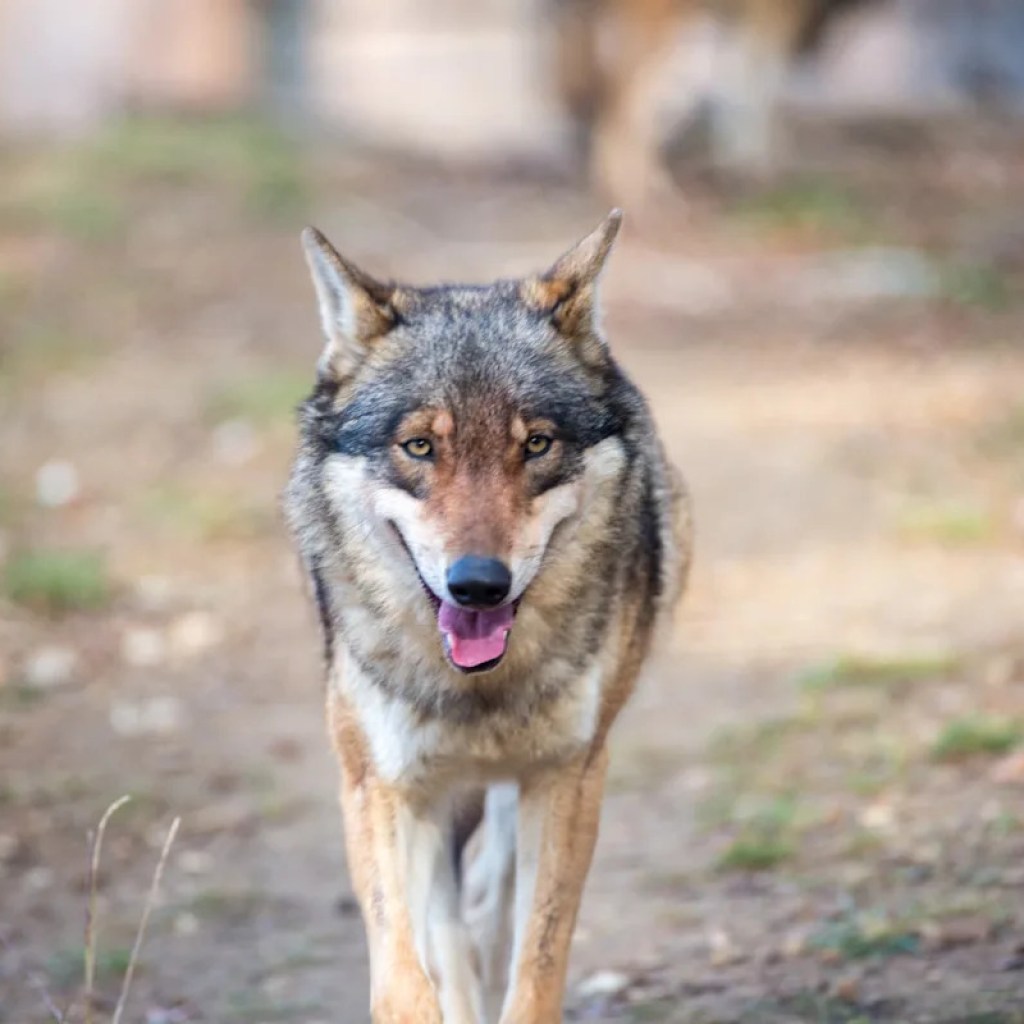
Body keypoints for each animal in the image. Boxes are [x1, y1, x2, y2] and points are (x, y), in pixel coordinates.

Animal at [285, 210, 693, 1024]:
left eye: (535, 444)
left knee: (494, 891)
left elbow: (536, 962)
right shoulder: (380, 782)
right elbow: (406, 975)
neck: (476, 688)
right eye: (419, 446)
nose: (477, 585)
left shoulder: (571, 774)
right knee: (448, 922)